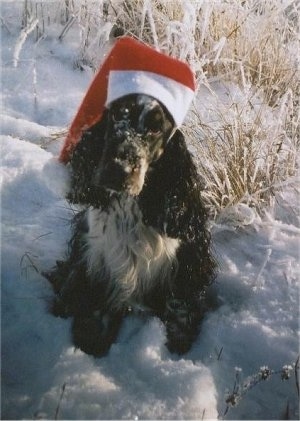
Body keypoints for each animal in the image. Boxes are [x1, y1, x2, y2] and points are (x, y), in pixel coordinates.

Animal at [47, 93, 214, 356]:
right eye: (117, 114)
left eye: (156, 127)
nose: (119, 169)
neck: (129, 208)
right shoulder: (92, 255)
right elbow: (84, 295)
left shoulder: (184, 263)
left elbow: (180, 306)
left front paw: (178, 339)